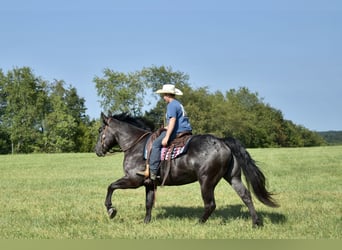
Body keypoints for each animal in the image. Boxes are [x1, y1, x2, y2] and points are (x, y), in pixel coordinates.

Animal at [94, 112, 278, 228]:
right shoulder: (149, 184)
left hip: (206, 181)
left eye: (100, 130)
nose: (97, 150)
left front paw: (111, 210)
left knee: (210, 204)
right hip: (233, 177)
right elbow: (148, 203)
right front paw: (146, 222)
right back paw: (256, 223)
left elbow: (111, 187)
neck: (136, 145)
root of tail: (222, 141)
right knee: (246, 196)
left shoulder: (133, 180)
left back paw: (199, 223)